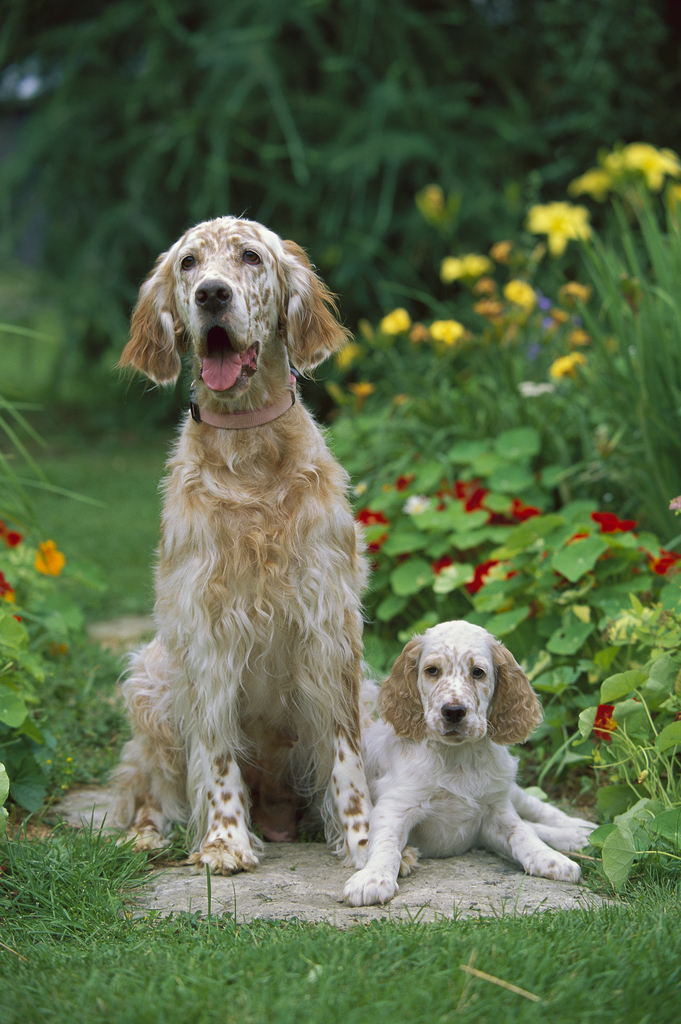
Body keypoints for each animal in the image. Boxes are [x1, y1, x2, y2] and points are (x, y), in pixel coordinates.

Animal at [112, 216, 372, 872]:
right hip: (150, 682)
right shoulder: (207, 633)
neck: (251, 457)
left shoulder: (329, 629)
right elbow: (216, 754)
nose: (211, 294)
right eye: (188, 263)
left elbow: (346, 758)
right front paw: (225, 840)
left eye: (251, 257)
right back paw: (146, 835)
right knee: (149, 788)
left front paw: (366, 843)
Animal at [342, 618, 593, 909]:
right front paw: (372, 878)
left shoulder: (495, 810)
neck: (458, 757)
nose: (453, 712)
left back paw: (580, 831)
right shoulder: (396, 806)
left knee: (538, 812)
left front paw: (550, 858)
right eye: (432, 670)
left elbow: (522, 832)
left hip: (508, 788)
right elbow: (386, 844)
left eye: (478, 672)